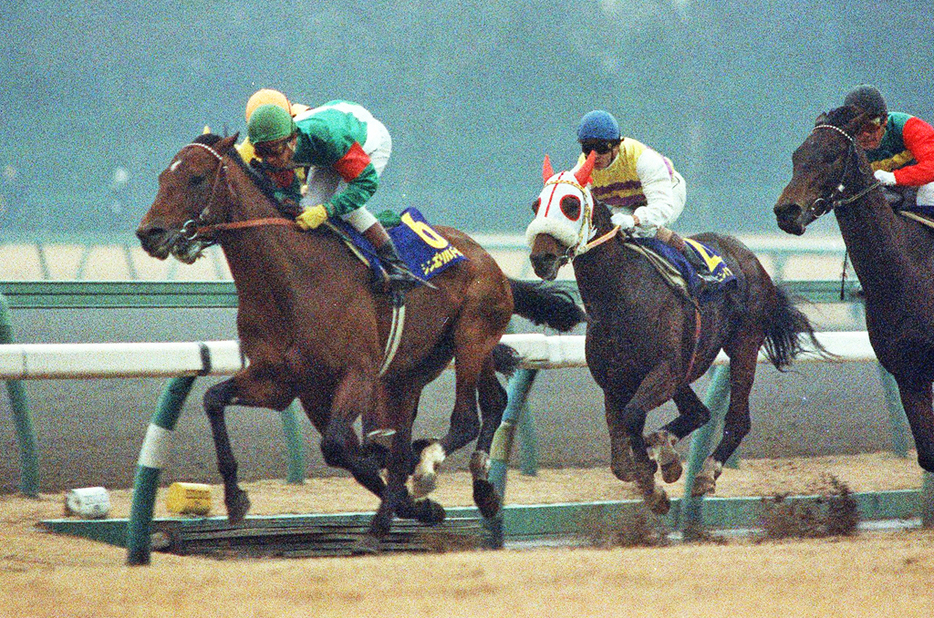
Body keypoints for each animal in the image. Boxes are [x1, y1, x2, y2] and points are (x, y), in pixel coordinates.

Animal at [137, 134, 584, 548]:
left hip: (471, 338)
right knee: (485, 406)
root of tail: (486, 257)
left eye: (196, 178)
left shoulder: (358, 372)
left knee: (466, 418)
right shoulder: (286, 383)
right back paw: (467, 492)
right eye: (161, 178)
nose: (148, 233)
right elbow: (216, 400)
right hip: (417, 369)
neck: (293, 281)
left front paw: (413, 496)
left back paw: (431, 471)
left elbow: (340, 446)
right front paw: (234, 498)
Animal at [528, 153, 828, 510]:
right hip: (686, 365)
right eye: (535, 205)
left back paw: (705, 472)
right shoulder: (614, 381)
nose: (540, 258)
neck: (619, 297)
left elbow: (632, 417)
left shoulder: (664, 369)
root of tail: (749, 256)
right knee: (699, 413)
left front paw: (653, 480)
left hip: (742, 344)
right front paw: (654, 466)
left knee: (737, 419)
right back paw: (666, 447)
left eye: (571, 204)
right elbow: (620, 457)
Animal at [776, 106, 934, 472]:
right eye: (796, 156)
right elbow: (929, 456)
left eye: (832, 155)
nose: (786, 211)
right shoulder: (910, 374)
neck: (906, 272)